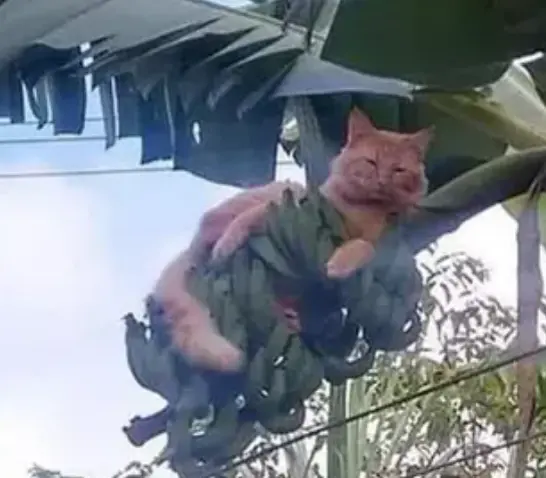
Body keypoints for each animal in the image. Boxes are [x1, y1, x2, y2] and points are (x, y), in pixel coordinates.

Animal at [153, 108, 433, 373]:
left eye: (398, 170)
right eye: (371, 162)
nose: (382, 181)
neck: (364, 208)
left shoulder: (379, 242)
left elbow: (363, 247)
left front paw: (340, 264)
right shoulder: (294, 204)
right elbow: (249, 219)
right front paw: (229, 242)